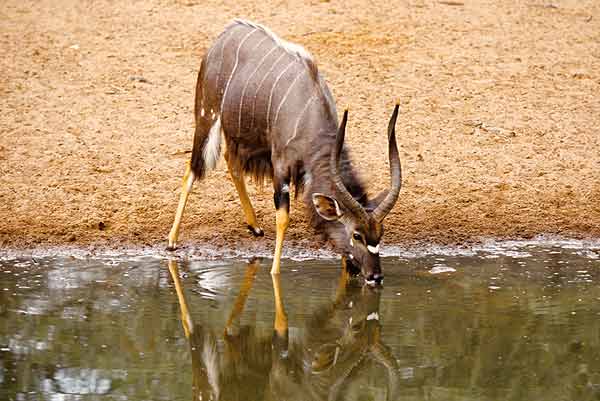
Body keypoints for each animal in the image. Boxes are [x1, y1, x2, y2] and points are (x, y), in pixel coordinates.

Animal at [168, 18, 404, 282]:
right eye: (356, 235)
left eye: (380, 233)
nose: (375, 276)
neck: (308, 113)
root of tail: (225, 33)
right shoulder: (280, 167)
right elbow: (283, 217)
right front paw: (275, 272)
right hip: (207, 116)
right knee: (192, 171)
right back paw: (172, 241)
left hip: (239, 134)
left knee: (231, 161)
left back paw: (254, 226)